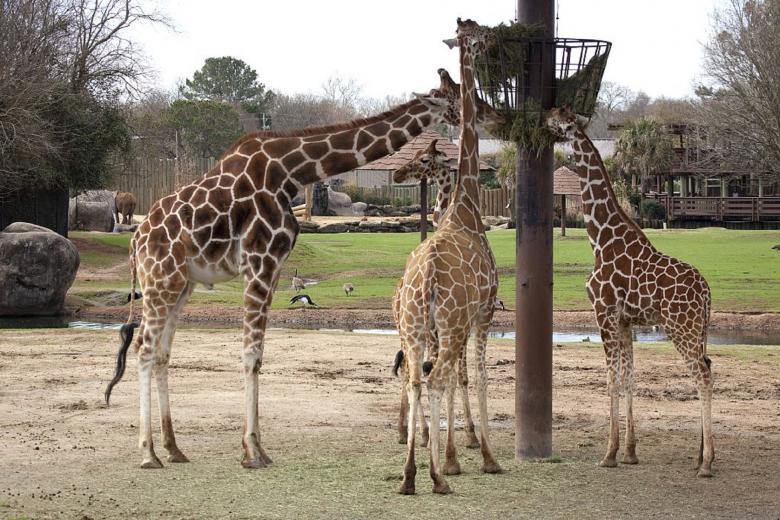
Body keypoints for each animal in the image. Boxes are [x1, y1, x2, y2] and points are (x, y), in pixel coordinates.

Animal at [390, 139, 480, 450]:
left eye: (425, 158)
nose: (397, 173)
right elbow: (458, 375)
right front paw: (469, 434)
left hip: (411, 330)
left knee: (410, 368)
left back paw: (405, 430)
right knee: (413, 369)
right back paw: (420, 432)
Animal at [545, 107, 715, 478]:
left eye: (561, 117)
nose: (545, 117)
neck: (600, 238)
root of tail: (707, 292)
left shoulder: (603, 313)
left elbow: (611, 380)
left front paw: (609, 453)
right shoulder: (624, 321)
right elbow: (629, 379)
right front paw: (630, 452)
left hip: (680, 327)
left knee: (702, 376)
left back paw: (707, 463)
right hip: (700, 330)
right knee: (708, 367)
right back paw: (700, 456)